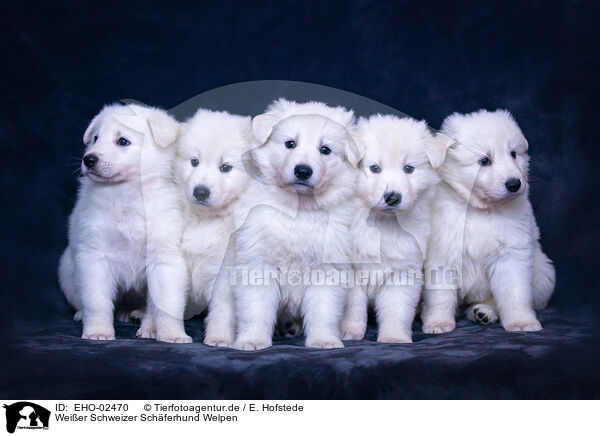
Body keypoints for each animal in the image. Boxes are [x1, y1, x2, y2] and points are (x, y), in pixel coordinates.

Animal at [57, 103, 190, 344]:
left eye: (123, 141)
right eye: (95, 138)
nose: (88, 159)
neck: (125, 192)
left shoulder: (164, 258)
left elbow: (167, 303)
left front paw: (173, 335)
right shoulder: (95, 256)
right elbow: (97, 300)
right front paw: (98, 332)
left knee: (149, 307)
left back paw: (146, 324)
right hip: (68, 270)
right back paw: (84, 314)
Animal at [173, 109, 253, 348]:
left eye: (225, 167)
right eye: (194, 161)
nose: (200, 192)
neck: (206, 220)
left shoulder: (226, 272)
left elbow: (222, 310)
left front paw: (218, 338)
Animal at [342, 115, 440, 344]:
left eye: (409, 169)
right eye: (374, 168)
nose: (392, 197)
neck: (382, 223)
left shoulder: (403, 271)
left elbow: (397, 309)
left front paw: (394, 338)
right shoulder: (352, 271)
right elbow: (353, 307)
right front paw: (350, 331)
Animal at [420, 110, 556, 334]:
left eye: (513, 154)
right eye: (484, 161)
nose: (514, 183)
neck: (479, 210)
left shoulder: (511, 253)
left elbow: (514, 292)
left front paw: (521, 322)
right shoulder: (443, 253)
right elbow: (440, 295)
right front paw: (438, 323)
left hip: (543, 273)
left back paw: (483, 312)